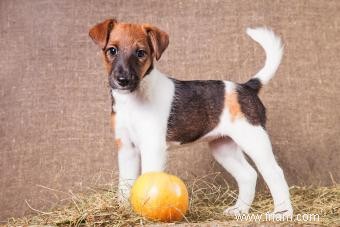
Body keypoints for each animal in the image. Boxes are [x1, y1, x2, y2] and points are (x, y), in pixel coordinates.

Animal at [89, 19, 294, 216]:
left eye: (141, 53)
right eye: (112, 50)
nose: (123, 80)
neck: (132, 100)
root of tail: (247, 86)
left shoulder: (152, 146)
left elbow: (148, 178)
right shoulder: (126, 148)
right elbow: (125, 183)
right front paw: (123, 209)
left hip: (254, 140)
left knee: (275, 173)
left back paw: (282, 212)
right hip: (223, 147)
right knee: (248, 175)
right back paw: (239, 210)